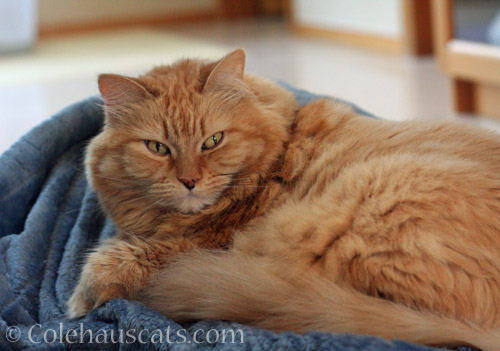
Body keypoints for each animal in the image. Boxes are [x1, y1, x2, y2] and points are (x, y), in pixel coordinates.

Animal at [67, 48, 500, 350]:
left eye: (213, 141)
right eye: (157, 148)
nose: (189, 181)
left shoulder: (195, 245)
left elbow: (114, 263)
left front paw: (79, 303)